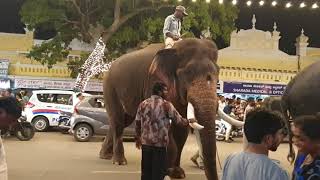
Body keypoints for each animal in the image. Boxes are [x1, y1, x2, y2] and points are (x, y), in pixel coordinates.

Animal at [99, 37, 221, 179]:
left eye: (218, 73)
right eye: (188, 73)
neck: (175, 47)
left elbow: (181, 130)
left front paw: (178, 173)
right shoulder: (152, 82)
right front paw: (168, 171)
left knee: (124, 121)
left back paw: (105, 156)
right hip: (110, 88)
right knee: (118, 121)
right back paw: (119, 161)